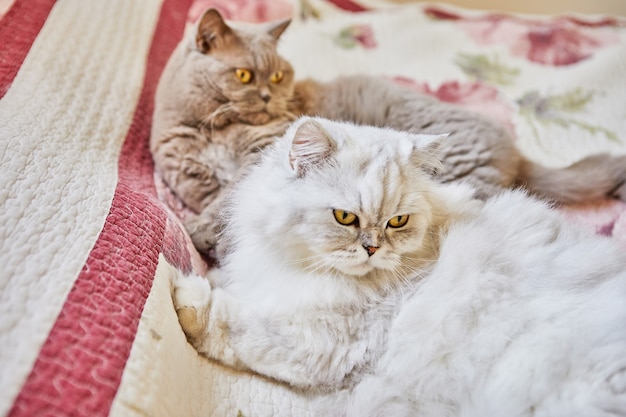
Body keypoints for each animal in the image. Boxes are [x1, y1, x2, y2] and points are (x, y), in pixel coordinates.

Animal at [151, 8, 624, 254]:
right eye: (245, 75)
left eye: (280, 75)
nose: (270, 97)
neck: (209, 128)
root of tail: (514, 150)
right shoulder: (192, 178)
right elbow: (221, 200)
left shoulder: (259, 157)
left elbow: (228, 200)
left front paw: (202, 233)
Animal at [173, 115, 624, 414]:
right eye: (345, 218)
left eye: (397, 222)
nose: (373, 248)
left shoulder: (321, 342)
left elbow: (230, 323)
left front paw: (185, 290)